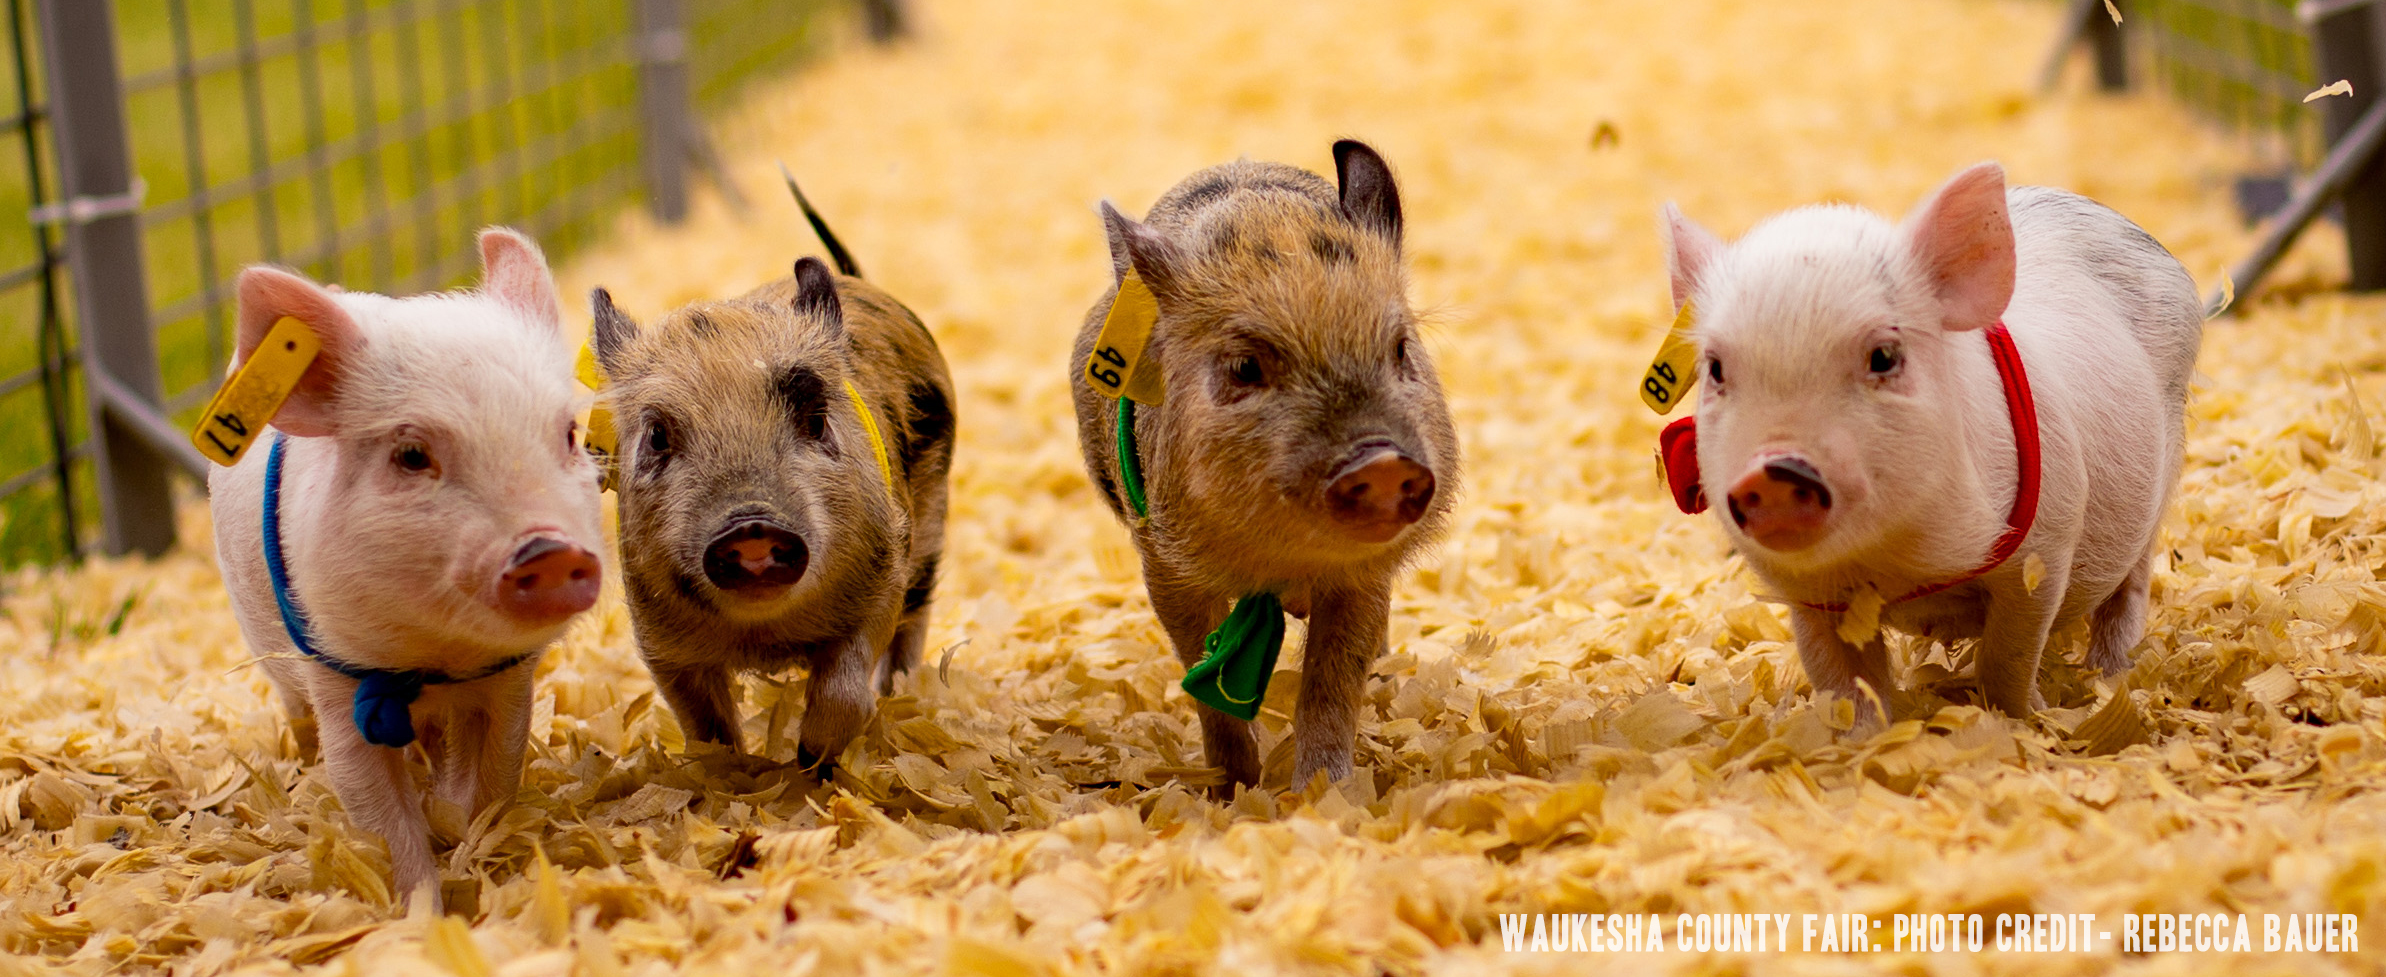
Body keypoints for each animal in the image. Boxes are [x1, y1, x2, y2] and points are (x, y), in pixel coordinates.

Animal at [209, 228, 606, 907]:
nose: (549, 550)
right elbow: (380, 821)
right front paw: (422, 909)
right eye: (413, 454)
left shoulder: (509, 679)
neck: (435, 660)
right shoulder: (336, 677)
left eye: (571, 434)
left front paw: (470, 848)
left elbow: (494, 780)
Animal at [589, 207, 954, 773]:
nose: (751, 524)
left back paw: (899, 695)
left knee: (914, 626)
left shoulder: (881, 581)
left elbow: (846, 689)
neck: (765, 637)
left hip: (931, 529)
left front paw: (811, 760)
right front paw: (735, 772)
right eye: (656, 435)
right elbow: (705, 727)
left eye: (816, 418)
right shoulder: (659, 639)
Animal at [1072, 140, 1460, 792]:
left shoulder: (1362, 577)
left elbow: (1331, 684)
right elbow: (1203, 678)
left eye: (1401, 349)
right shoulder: (1165, 566)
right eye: (1245, 367)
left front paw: (1323, 793)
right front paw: (1232, 790)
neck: (1284, 565)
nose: (1381, 459)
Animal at [1662, 162, 2202, 720]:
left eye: (1884, 356)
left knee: (2131, 587)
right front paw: (1865, 732)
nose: (1773, 467)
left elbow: (2008, 657)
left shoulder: (2047, 541)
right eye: (1715, 368)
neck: (1899, 570)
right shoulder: (1810, 596)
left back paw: (2111, 679)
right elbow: (1842, 681)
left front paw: (2030, 717)